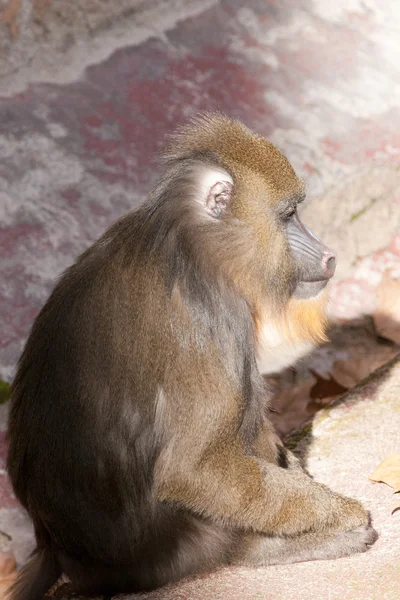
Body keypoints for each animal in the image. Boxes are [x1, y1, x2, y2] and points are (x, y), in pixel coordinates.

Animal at [6, 113, 376, 600]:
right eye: (289, 215)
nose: (329, 255)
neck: (191, 240)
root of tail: (57, 547)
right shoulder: (213, 320)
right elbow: (193, 470)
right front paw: (341, 514)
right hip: (179, 545)